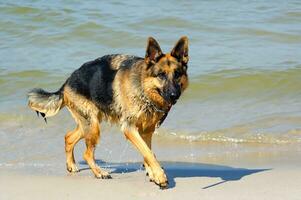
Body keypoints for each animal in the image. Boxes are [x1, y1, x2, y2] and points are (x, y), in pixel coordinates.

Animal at [27, 36, 188, 189]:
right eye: (161, 75)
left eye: (177, 74)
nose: (174, 95)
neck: (143, 88)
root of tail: (67, 82)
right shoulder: (130, 128)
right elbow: (148, 153)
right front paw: (160, 176)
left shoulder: (147, 131)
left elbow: (148, 153)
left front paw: (153, 174)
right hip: (93, 127)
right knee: (87, 153)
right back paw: (99, 172)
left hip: (89, 124)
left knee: (69, 137)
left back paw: (71, 165)